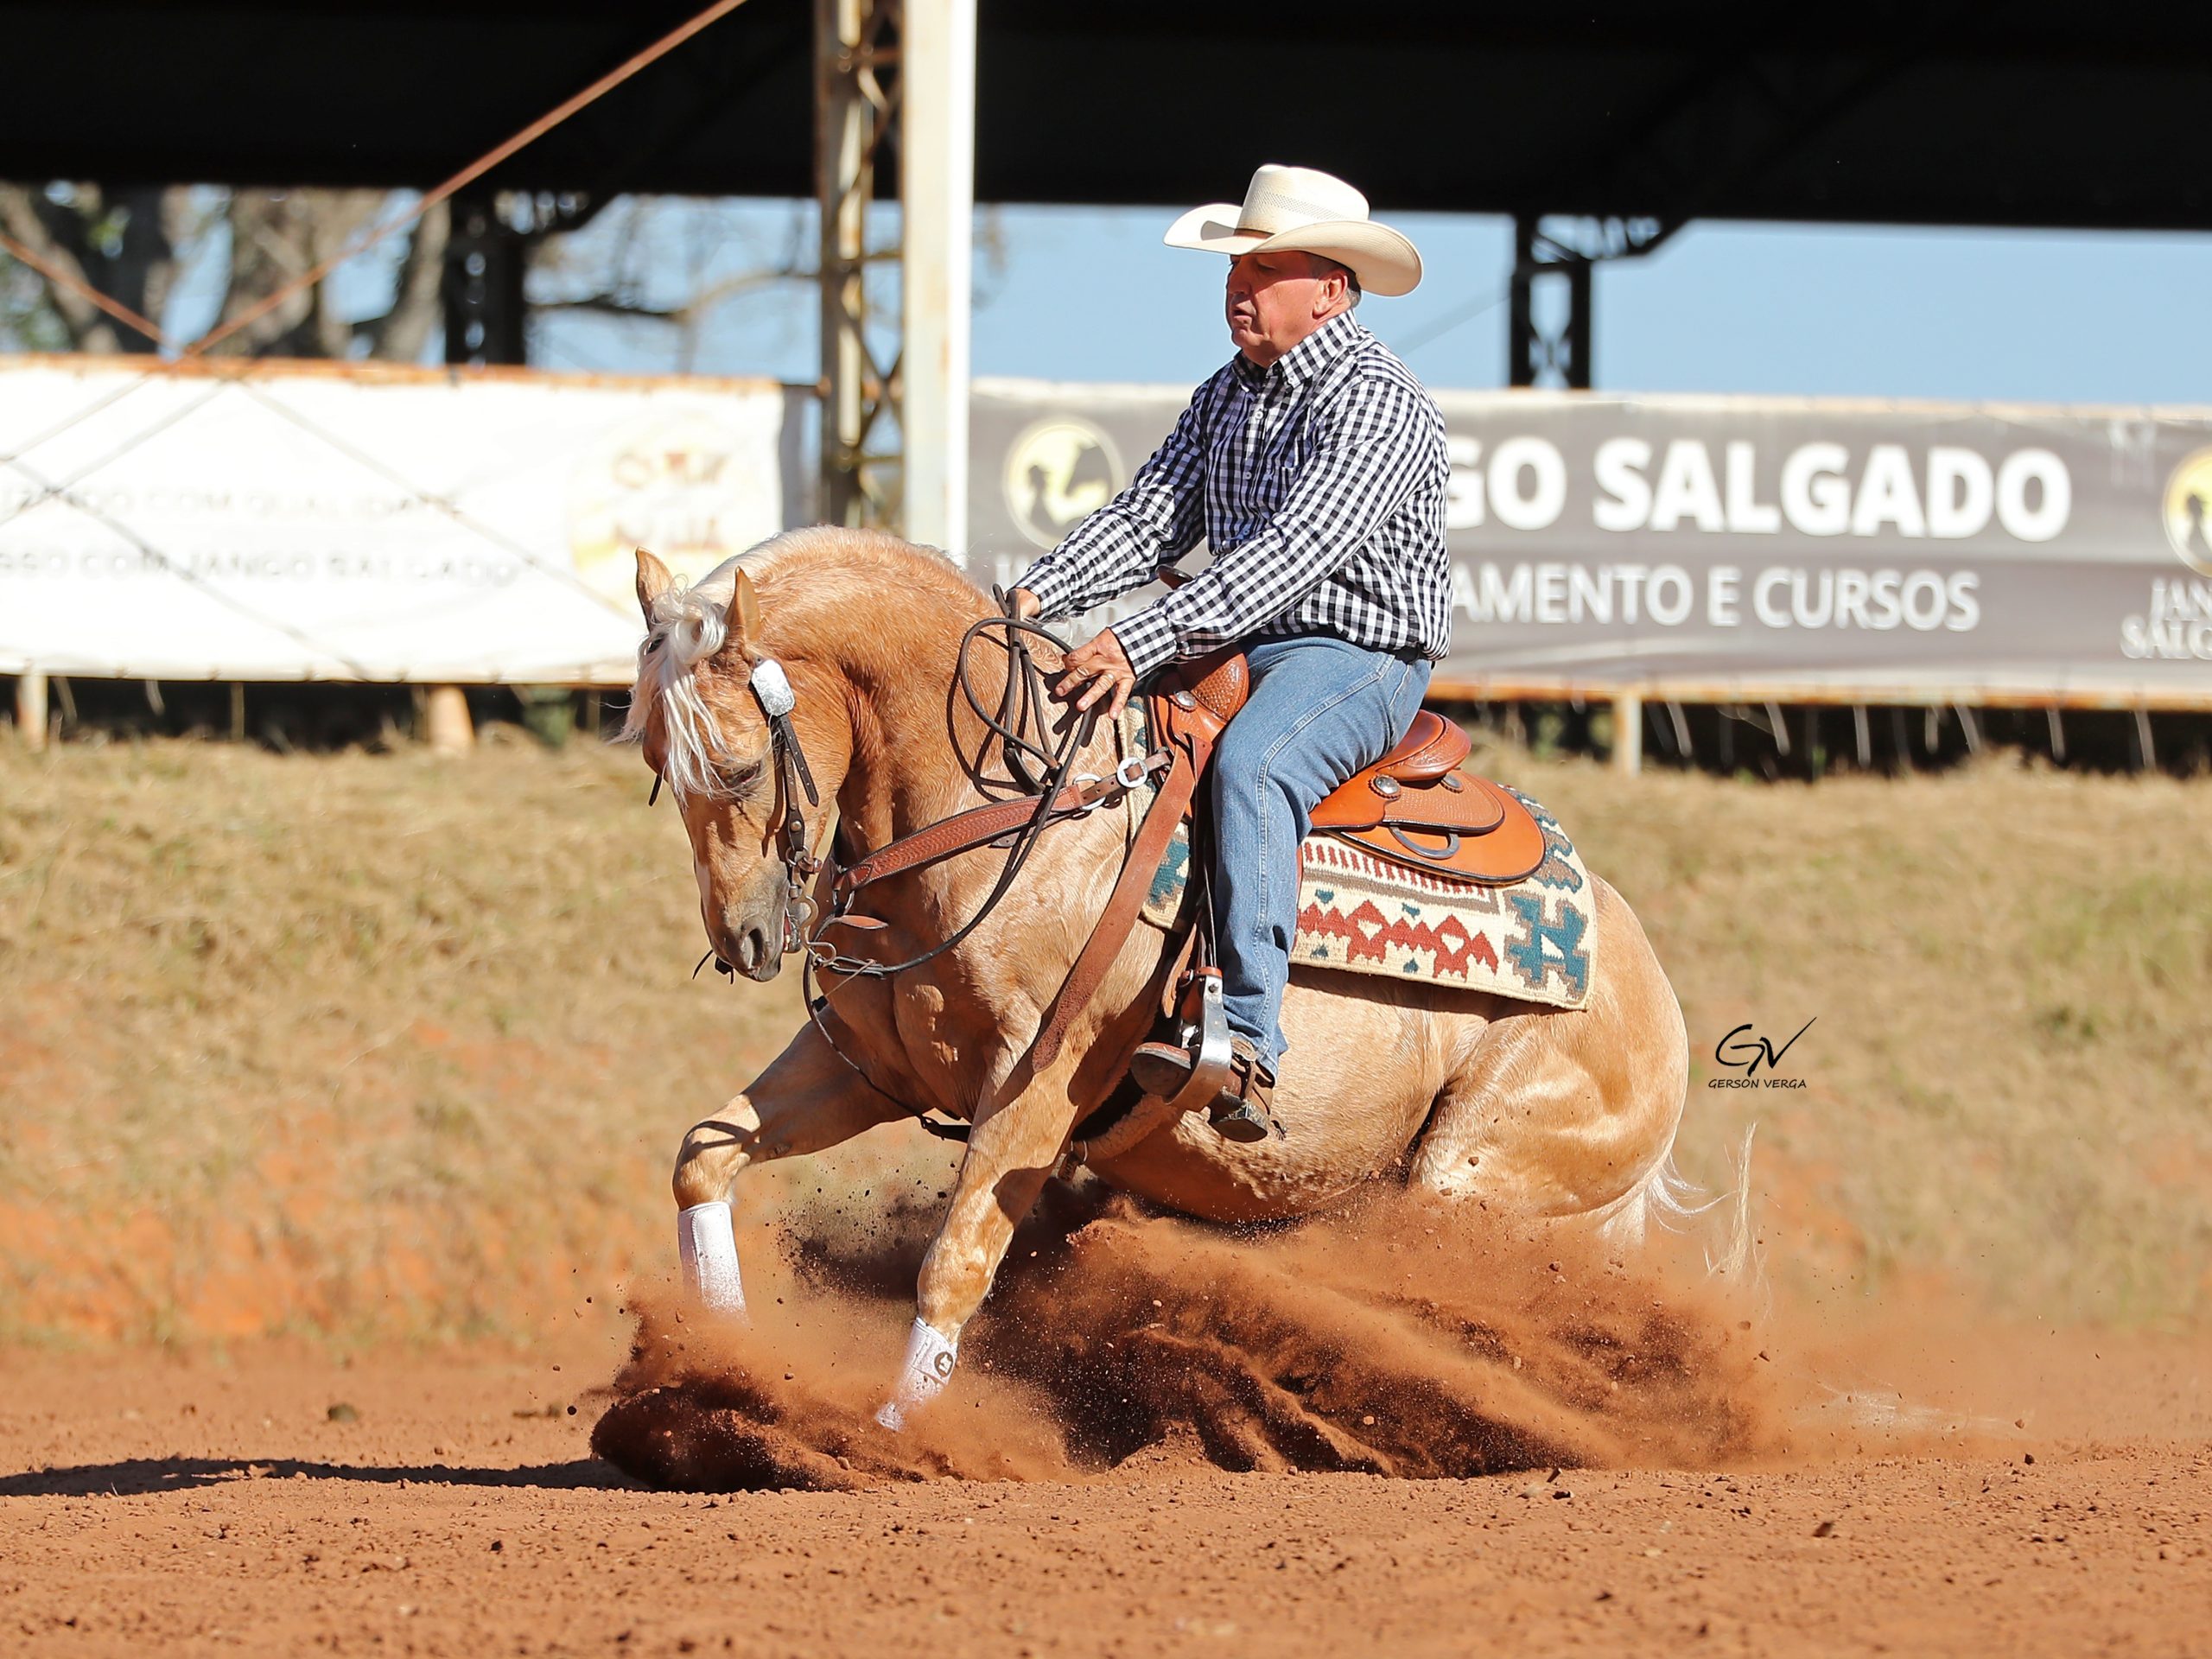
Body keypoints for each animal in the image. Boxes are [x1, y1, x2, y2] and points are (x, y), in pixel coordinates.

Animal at [623, 528, 1689, 1433]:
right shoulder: (871, 1066)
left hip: (1470, 1185)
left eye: (739, 765)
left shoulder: (1037, 1083)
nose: (744, 937)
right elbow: (702, 1156)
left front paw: (895, 1438)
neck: (1009, 804)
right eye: (655, 760)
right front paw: (720, 1361)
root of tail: (1655, 1001)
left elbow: (954, 1265)